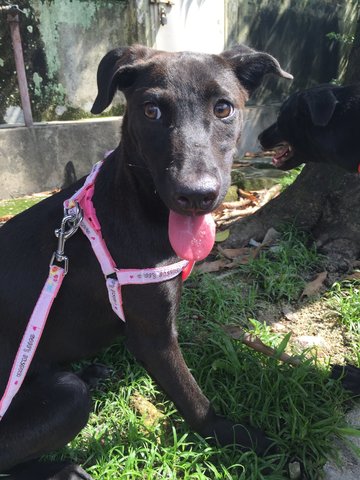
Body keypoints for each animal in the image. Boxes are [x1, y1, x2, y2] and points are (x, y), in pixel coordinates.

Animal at [0, 43, 292, 478]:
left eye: (224, 108)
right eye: (151, 110)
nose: (196, 195)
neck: (139, 201)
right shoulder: (153, 337)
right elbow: (194, 400)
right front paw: (241, 440)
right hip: (66, 400)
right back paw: (63, 468)